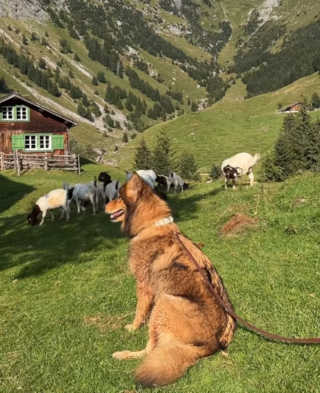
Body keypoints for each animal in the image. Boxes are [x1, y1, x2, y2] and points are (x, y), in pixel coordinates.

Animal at [105, 174, 235, 386]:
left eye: (118, 196)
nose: (104, 205)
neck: (151, 225)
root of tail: (211, 345)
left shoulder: (144, 286)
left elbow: (139, 312)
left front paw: (133, 327)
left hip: (164, 303)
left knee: (149, 350)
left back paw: (123, 354)